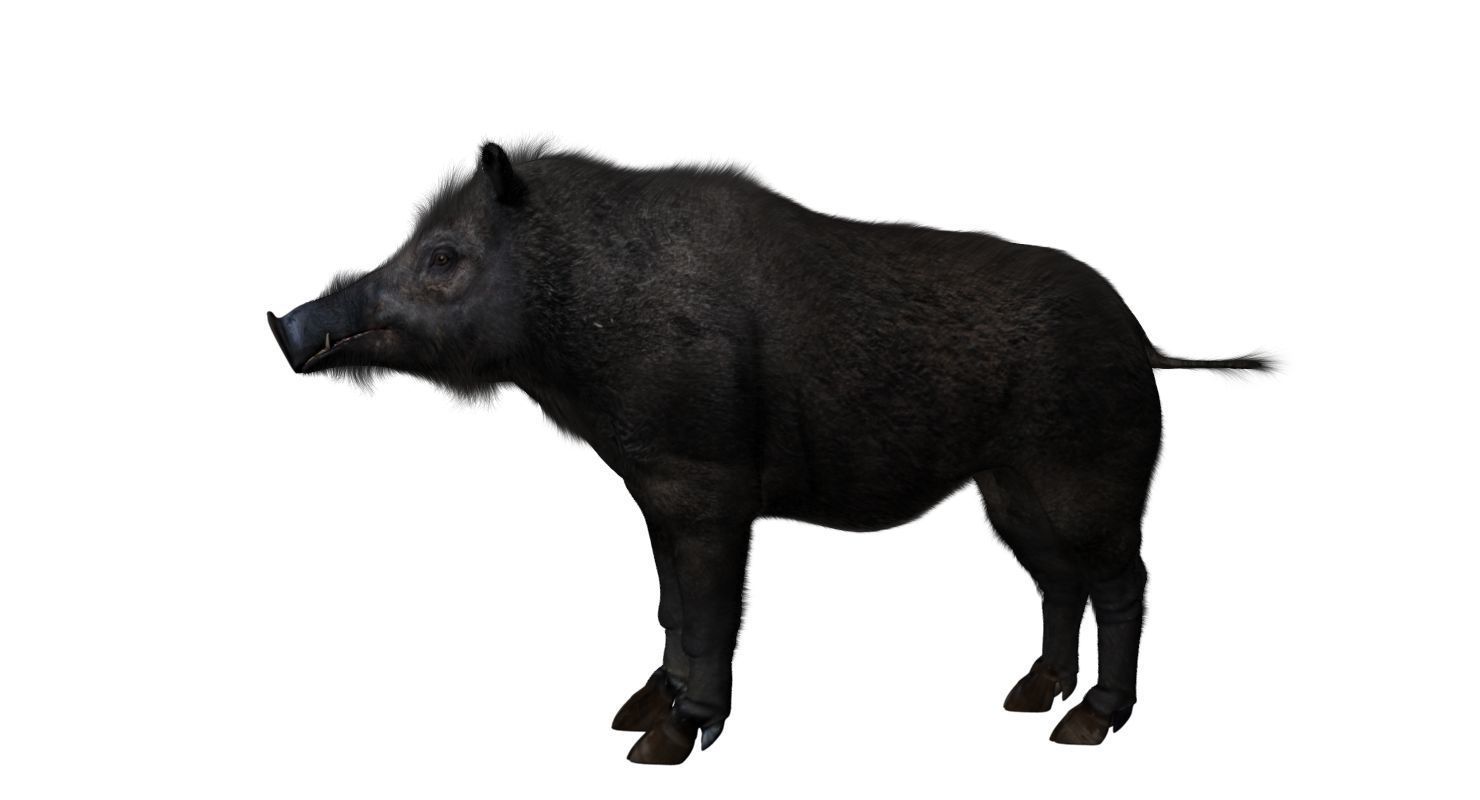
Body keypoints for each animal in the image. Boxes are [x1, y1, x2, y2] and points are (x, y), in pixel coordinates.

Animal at [267, 141, 1271, 764]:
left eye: (442, 257)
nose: (283, 324)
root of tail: (1141, 338)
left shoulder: (708, 486)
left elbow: (710, 612)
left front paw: (662, 744)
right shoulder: (652, 488)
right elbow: (669, 605)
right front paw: (633, 714)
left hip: (1092, 476)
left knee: (1126, 582)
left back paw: (1088, 728)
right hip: (1008, 491)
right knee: (1059, 583)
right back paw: (1028, 700)